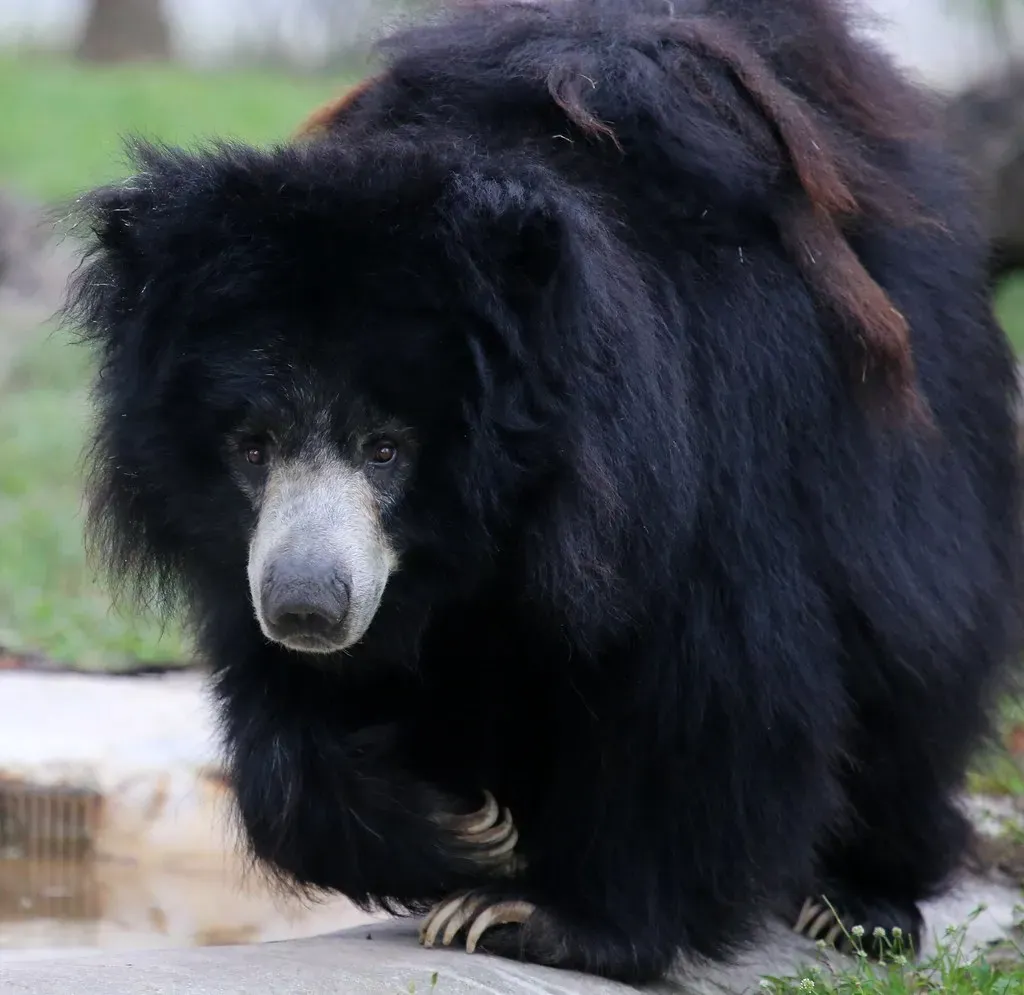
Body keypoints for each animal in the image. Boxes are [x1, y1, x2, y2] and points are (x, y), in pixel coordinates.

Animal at [63, 0, 1023, 984]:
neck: (489, 527)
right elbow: (285, 722)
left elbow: (721, 687)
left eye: (385, 448)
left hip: (912, 467)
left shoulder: (699, 474)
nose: (307, 608)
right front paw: (462, 829)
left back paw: (857, 902)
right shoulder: (258, 554)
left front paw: (538, 915)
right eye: (251, 445)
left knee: (913, 667)